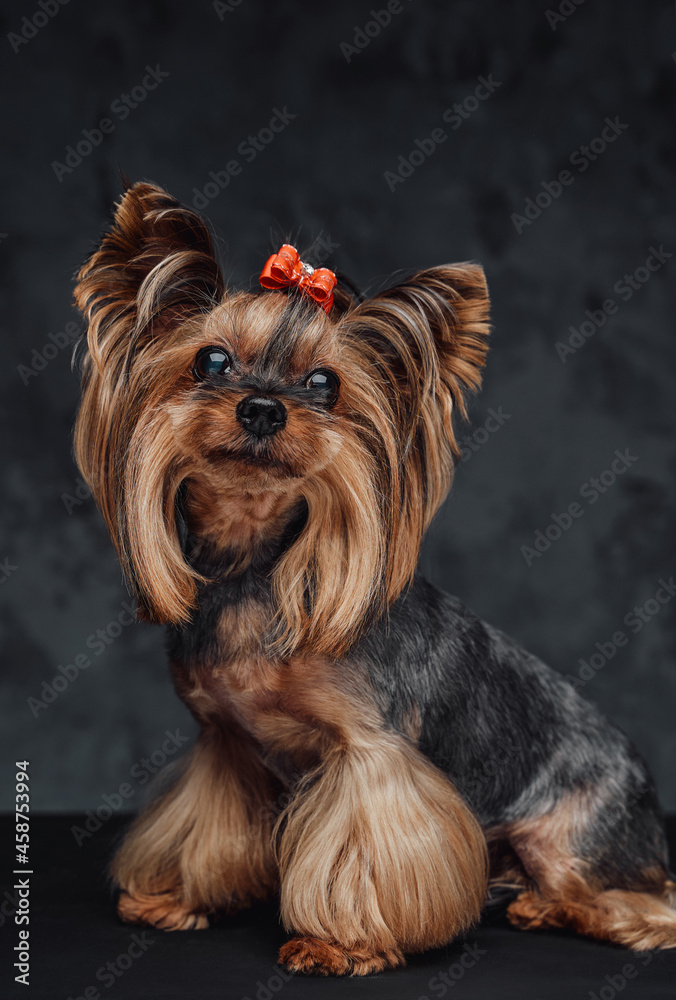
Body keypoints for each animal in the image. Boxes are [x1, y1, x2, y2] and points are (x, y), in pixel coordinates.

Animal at [74, 182, 676, 976]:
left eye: (324, 383)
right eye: (211, 361)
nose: (262, 408)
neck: (254, 560)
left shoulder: (370, 753)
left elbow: (356, 855)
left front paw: (337, 943)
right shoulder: (225, 745)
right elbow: (203, 828)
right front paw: (176, 897)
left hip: (573, 835)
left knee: (642, 901)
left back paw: (571, 909)